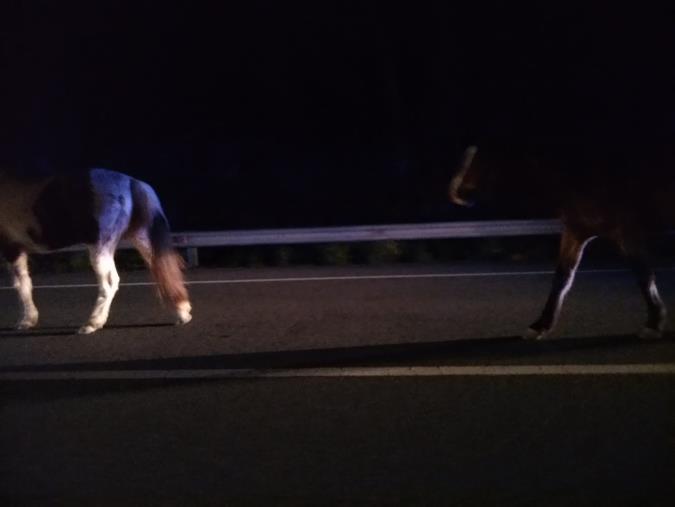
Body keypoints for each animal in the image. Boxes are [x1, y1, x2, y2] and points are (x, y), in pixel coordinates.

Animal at [1, 170, 193, 334]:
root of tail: (132, 182)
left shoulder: (12, 249)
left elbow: (21, 284)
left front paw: (25, 321)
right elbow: (25, 283)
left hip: (101, 248)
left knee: (110, 282)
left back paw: (92, 323)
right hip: (141, 239)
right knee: (165, 271)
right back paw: (182, 312)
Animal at [448, 143, 675, 342]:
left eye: (484, 160)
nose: (457, 193)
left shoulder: (626, 232)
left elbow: (643, 275)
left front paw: (653, 324)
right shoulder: (575, 232)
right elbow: (562, 278)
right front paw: (539, 326)